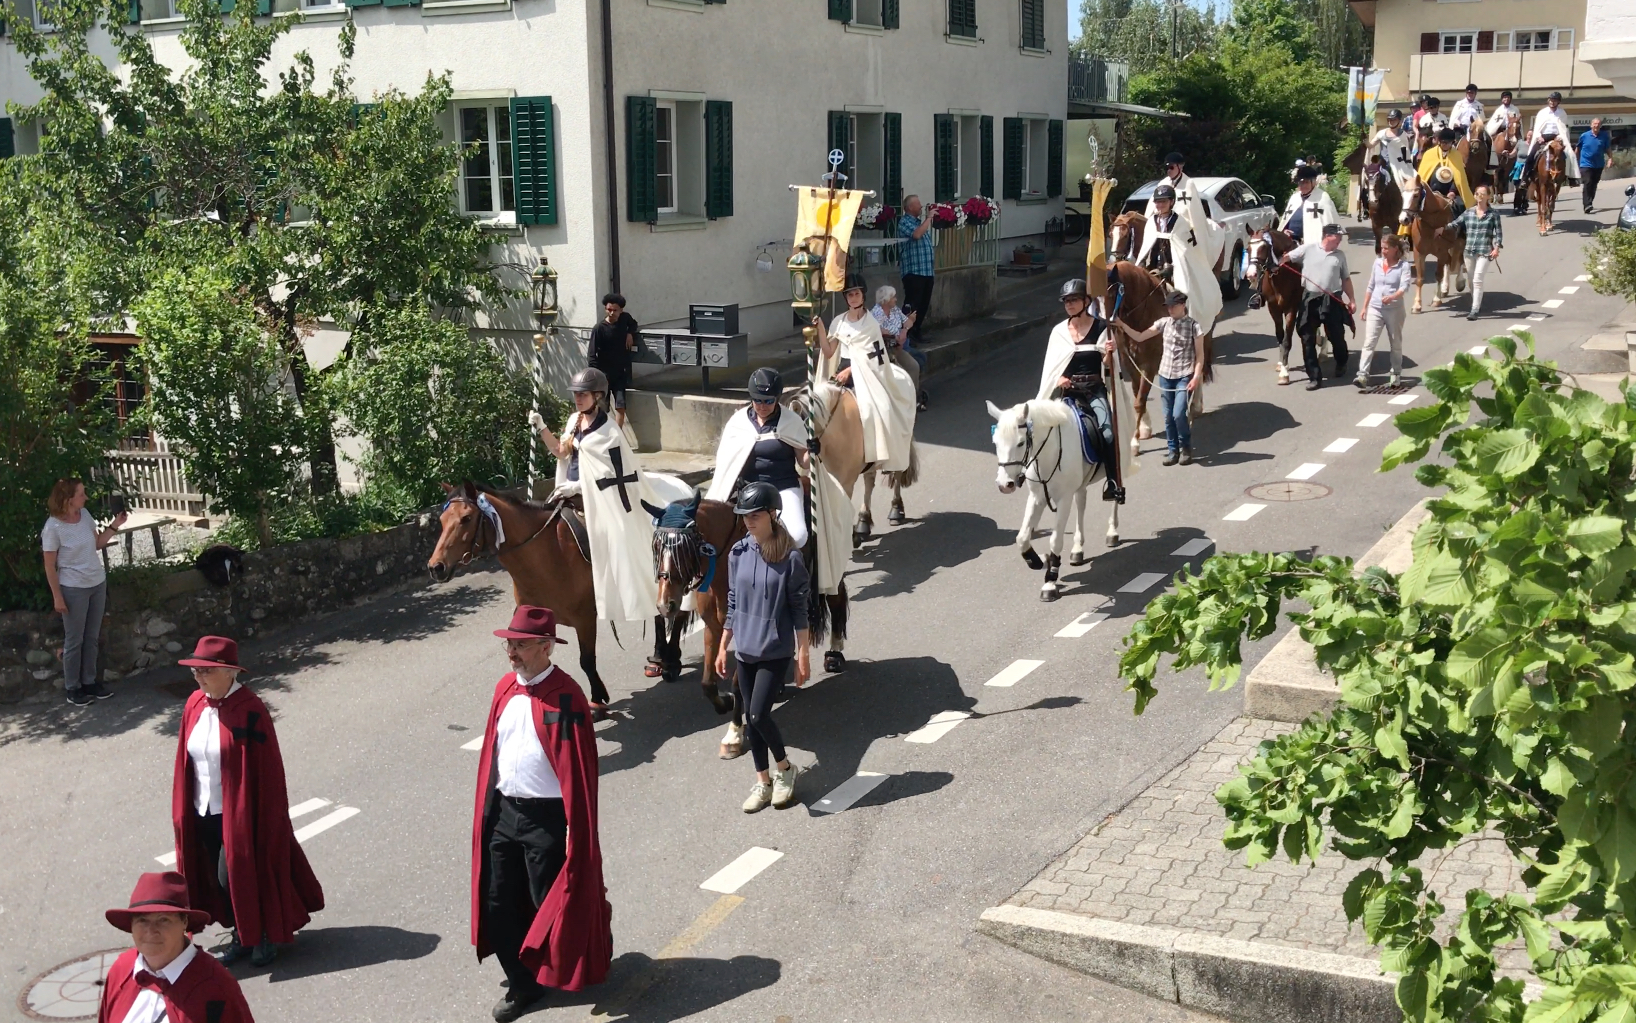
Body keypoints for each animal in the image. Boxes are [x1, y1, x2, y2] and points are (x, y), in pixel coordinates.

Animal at [981, 397, 1112, 599]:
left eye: (1020, 443)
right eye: (995, 443)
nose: (1004, 484)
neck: (1048, 454)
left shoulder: (1064, 499)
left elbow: (1055, 540)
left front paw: (1050, 579)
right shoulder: (1037, 497)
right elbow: (1022, 538)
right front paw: (1039, 560)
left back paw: (1112, 532)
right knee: (1081, 502)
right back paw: (1077, 548)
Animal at [1400, 181, 1465, 310]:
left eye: (1416, 195)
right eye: (1402, 195)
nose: (1403, 219)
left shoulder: (1441, 251)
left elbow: (1439, 274)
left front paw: (1436, 299)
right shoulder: (1419, 252)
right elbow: (1420, 278)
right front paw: (1417, 305)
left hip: (1459, 244)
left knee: (1459, 260)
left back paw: (1459, 283)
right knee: (1449, 263)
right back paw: (1445, 289)